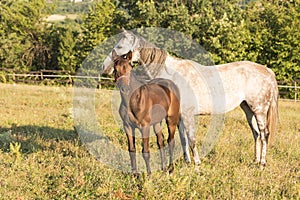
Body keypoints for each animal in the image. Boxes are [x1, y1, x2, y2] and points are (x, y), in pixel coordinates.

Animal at [103, 28, 278, 167]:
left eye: (119, 47)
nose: (104, 67)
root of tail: (267, 71)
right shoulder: (178, 116)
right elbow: (183, 139)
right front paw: (187, 162)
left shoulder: (187, 115)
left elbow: (192, 139)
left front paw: (197, 164)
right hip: (248, 109)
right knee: (256, 133)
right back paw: (255, 160)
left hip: (259, 109)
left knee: (264, 134)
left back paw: (262, 164)